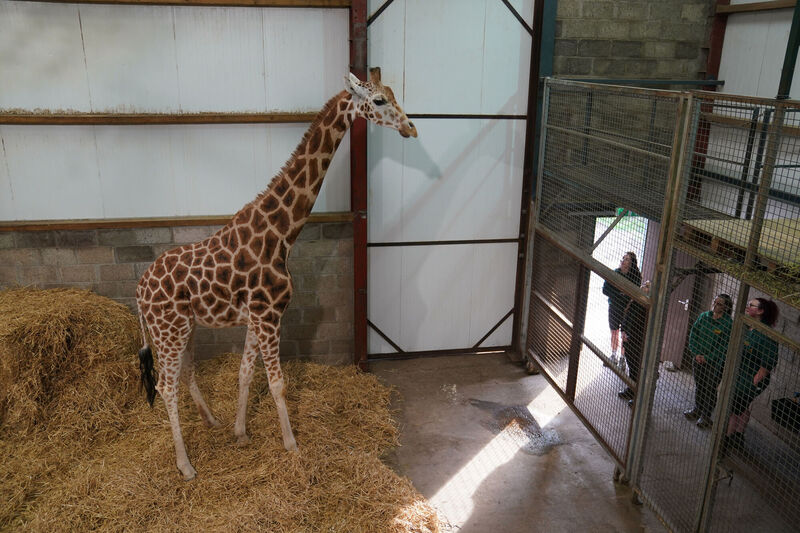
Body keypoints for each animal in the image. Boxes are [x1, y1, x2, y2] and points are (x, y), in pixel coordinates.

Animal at [136, 68, 417, 481]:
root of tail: (137, 290)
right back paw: (185, 466)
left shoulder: (257, 316)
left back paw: (212, 422)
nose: (411, 128)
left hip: (185, 329)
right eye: (379, 100)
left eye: (394, 94)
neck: (282, 234)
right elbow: (277, 382)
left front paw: (240, 433)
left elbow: (245, 372)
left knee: (185, 374)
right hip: (168, 330)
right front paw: (291, 444)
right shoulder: (269, 316)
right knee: (165, 386)